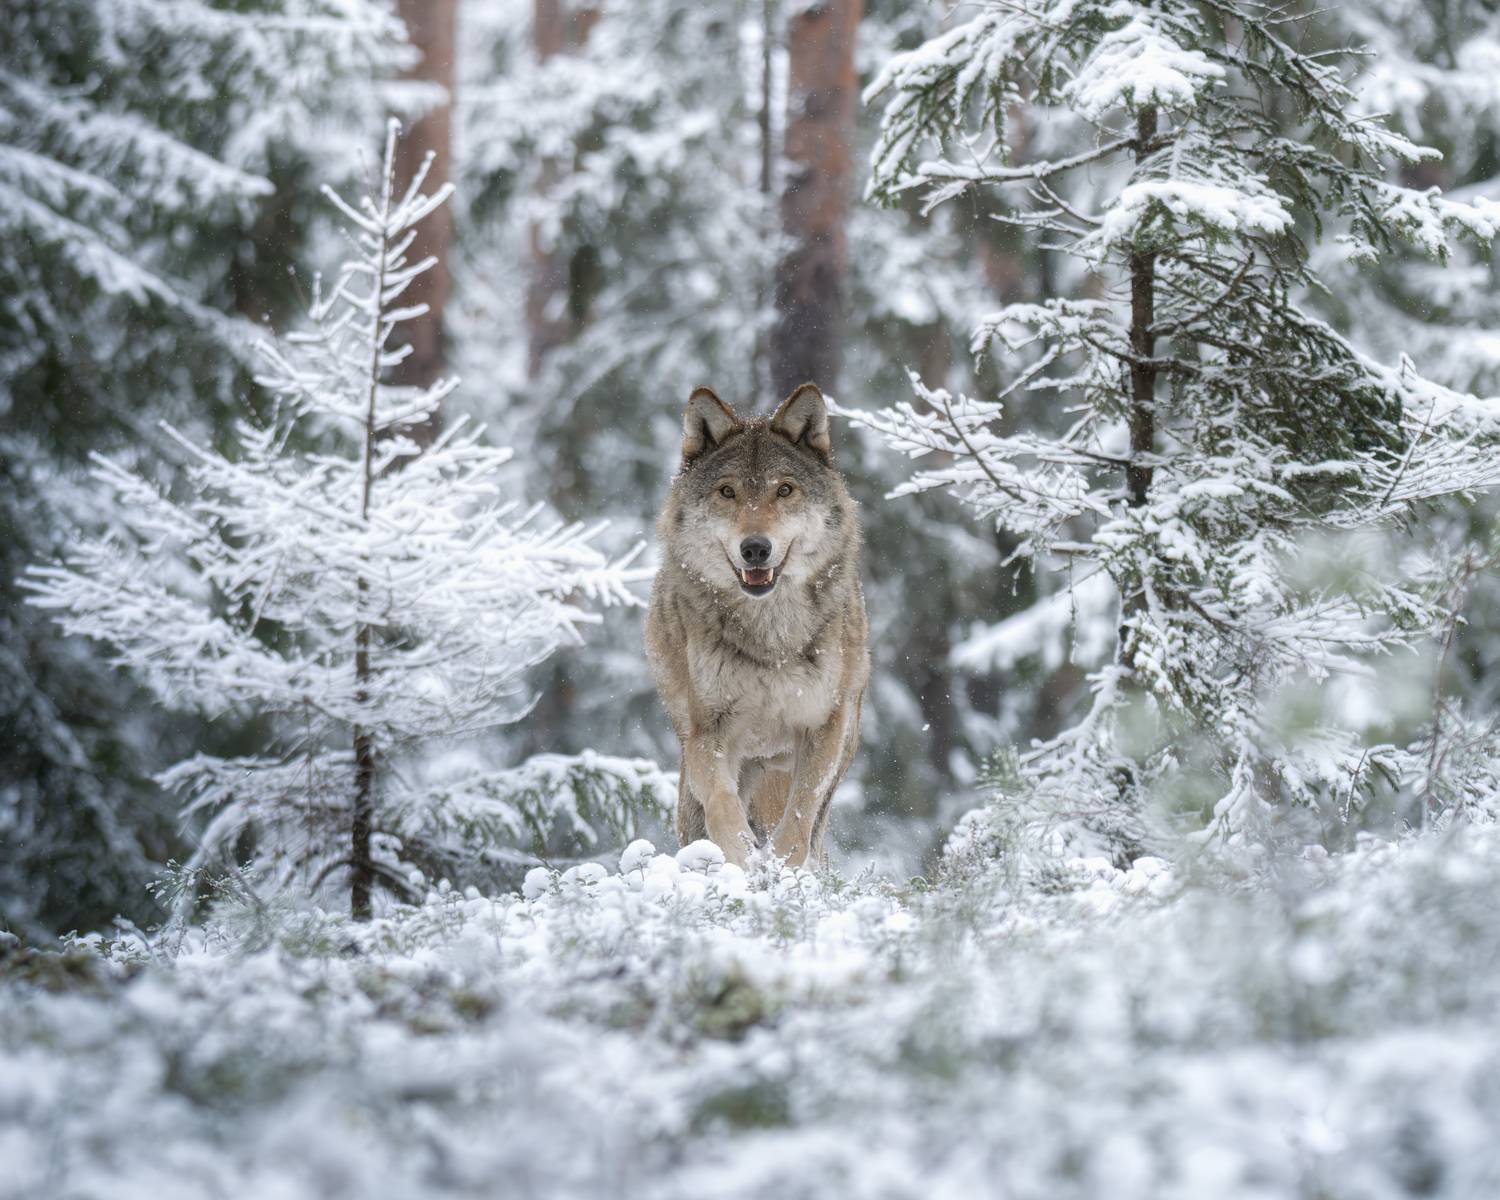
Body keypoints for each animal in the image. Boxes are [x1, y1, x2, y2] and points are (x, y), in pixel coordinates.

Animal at [645, 382, 869, 868]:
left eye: (784, 490)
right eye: (727, 492)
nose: (755, 549)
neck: (770, 634)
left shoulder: (824, 727)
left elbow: (801, 814)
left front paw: (782, 867)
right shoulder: (707, 734)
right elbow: (723, 806)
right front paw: (744, 860)